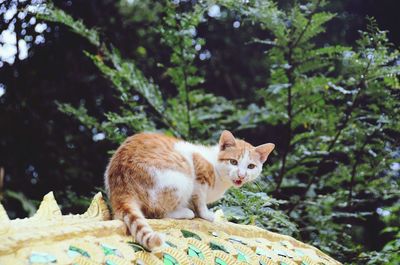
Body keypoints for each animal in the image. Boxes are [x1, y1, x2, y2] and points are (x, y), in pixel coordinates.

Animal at [104, 130, 274, 250]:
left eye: (251, 166)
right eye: (233, 162)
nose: (241, 175)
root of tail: (121, 183)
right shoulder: (199, 177)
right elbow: (200, 200)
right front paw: (205, 214)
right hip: (181, 178)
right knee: (157, 212)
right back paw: (185, 212)